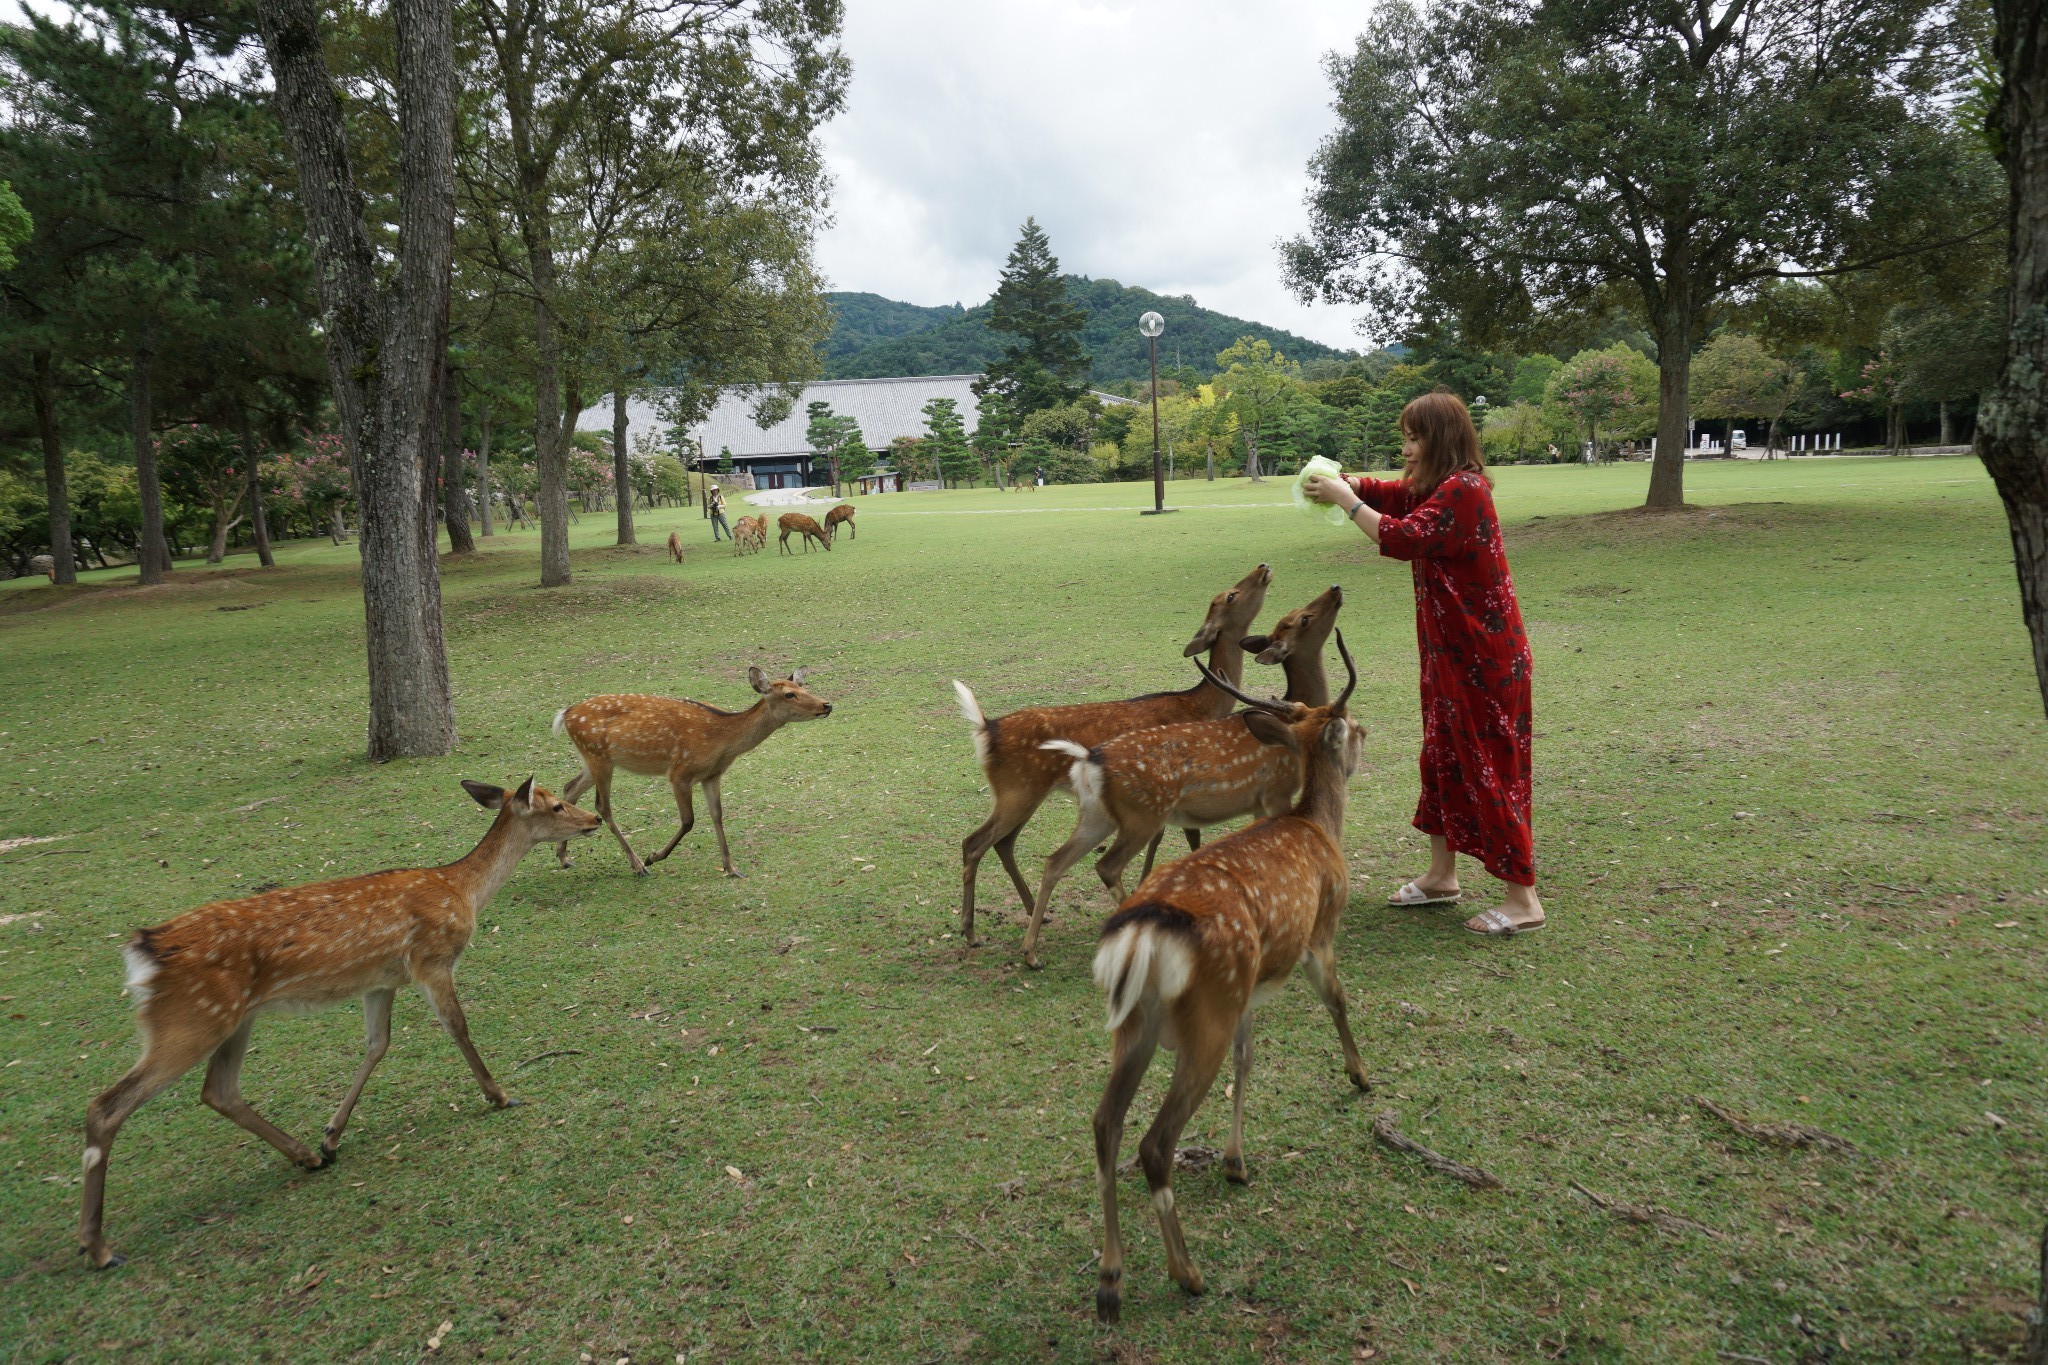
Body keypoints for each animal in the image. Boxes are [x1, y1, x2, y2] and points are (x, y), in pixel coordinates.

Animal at [83, 777, 598, 1268]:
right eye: (556, 805)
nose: (592, 818)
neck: (463, 891)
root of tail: (144, 954)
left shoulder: (382, 981)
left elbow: (377, 1044)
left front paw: (331, 1135)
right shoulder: (431, 961)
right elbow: (458, 1027)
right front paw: (501, 1095)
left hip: (231, 1019)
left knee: (219, 1090)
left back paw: (308, 1156)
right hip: (191, 1019)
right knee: (107, 1105)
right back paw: (99, 1248)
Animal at [552, 671, 831, 879]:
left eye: (804, 687)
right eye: (789, 694)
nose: (827, 704)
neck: (722, 741)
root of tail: (565, 713)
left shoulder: (713, 775)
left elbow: (717, 815)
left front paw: (731, 868)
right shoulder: (679, 772)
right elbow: (689, 820)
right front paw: (654, 856)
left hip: (592, 759)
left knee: (569, 788)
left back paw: (564, 857)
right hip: (598, 756)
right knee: (602, 806)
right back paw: (638, 865)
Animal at [954, 564, 1269, 949]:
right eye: (1230, 595)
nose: (1263, 568)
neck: (1199, 705)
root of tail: (986, 728)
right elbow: (1180, 838)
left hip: (1021, 793)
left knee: (1004, 843)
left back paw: (1032, 911)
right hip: (1018, 790)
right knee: (974, 842)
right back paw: (971, 931)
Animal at [1019, 593, 1343, 965]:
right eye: (1304, 618)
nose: (1336, 590)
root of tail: (1088, 762)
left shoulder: (1258, 803)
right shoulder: (1276, 790)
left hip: (1096, 815)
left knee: (1055, 861)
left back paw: (1030, 953)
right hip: (1140, 816)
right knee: (1106, 866)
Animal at [1089, 650, 1376, 1326]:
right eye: (1349, 726)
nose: (1369, 733)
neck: (1321, 828)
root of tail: (1141, 935)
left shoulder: (1249, 992)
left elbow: (1249, 1061)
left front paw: (1235, 1162)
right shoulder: (1319, 935)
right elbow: (1339, 1001)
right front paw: (1360, 1075)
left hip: (1139, 1025)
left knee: (1105, 1124)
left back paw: (1111, 1278)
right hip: (1207, 1013)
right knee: (1155, 1143)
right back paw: (1187, 1274)